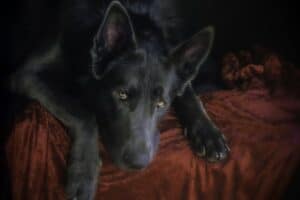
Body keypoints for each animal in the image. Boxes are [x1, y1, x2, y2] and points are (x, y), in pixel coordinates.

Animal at [9, 0, 230, 199]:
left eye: (161, 104)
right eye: (122, 94)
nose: (138, 164)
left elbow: (189, 93)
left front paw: (208, 133)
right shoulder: (28, 75)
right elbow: (83, 114)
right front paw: (84, 170)